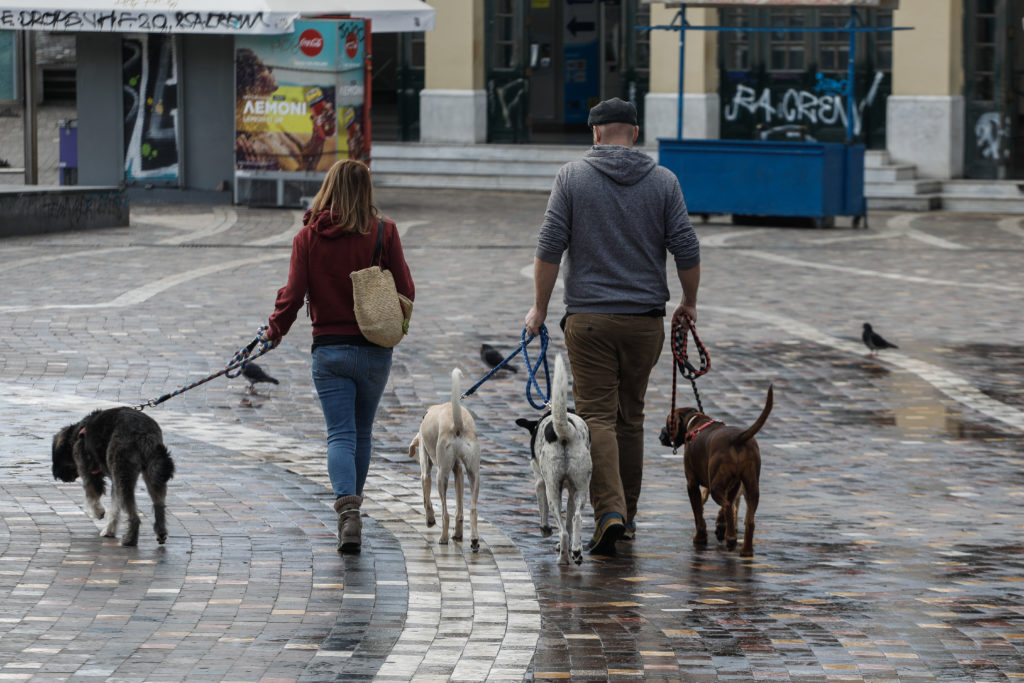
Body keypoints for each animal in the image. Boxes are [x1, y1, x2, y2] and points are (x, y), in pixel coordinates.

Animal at [52, 409, 176, 548]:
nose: (56, 476)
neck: (75, 436)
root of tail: (144, 432)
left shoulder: (88, 473)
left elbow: (92, 497)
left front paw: (99, 512)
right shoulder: (114, 482)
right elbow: (114, 508)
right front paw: (109, 530)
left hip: (123, 474)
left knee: (135, 517)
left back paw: (130, 539)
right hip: (152, 473)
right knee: (159, 505)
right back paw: (160, 531)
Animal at [407, 368, 479, 548]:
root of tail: (458, 424)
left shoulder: (425, 470)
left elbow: (426, 498)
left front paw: (430, 519)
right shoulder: (458, 470)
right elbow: (459, 509)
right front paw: (458, 534)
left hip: (442, 475)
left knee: (445, 513)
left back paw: (443, 538)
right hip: (474, 473)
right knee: (473, 509)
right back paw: (473, 539)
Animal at [512, 356, 593, 565]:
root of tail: (565, 433)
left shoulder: (540, 483)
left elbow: (544, 512)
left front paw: (545, 530)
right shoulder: (571, 491)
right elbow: (570, 517)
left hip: (552, 488)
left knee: (562, 530)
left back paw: (563, 558)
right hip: (581, 487)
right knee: (576, 519)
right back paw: (576, 551)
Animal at [659, 385, 770, 557]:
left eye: (667, 422)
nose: (660, 436)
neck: (695, 421)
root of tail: (738, 438)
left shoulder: (691, 483)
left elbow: (698, 514)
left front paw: (700, 537)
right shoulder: (733, 486)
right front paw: (719, 527)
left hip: (716, 487)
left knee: (727, 507)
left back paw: (730, 538)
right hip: (751, 487)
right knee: (748, 520)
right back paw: (745, 549)